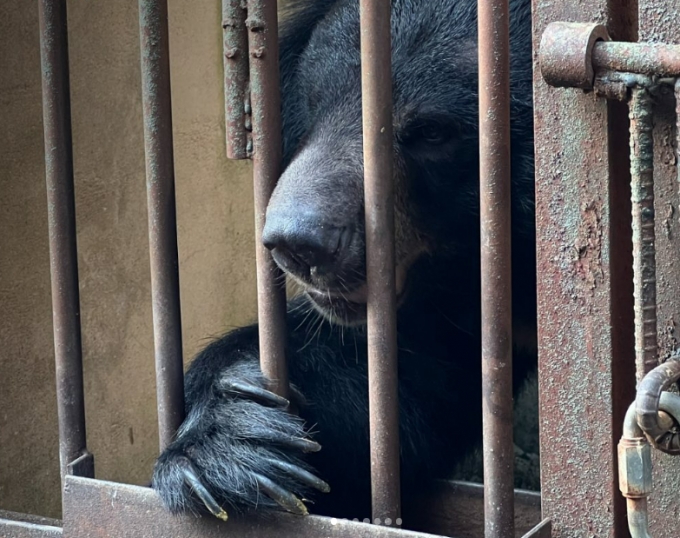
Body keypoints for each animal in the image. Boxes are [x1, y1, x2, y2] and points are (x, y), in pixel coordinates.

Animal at [153, 0, 536, 520]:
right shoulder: (450, 303)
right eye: (314, 103)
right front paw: (229, 439)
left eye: (433, 131)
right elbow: (402, 391)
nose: (298, 243)